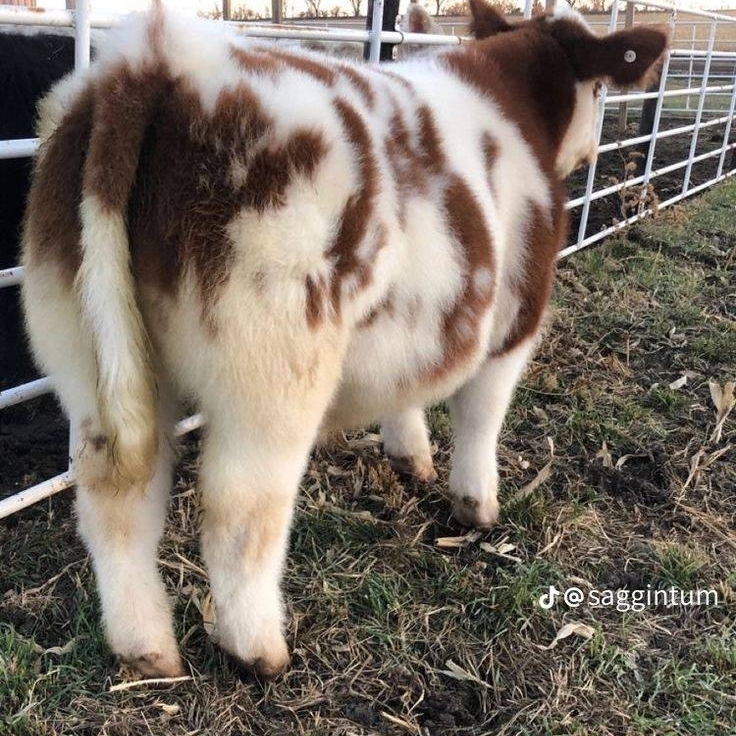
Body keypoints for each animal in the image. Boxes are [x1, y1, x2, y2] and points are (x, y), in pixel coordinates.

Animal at [20, 0, 668, 678]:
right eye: (601, 89)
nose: (593, 145)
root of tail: (157, 58)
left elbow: (410, 385)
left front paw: (410, 456)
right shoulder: (514, 319)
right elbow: (480, 415)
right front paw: (477, 505)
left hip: (84, 352)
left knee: (116, 497)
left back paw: (145, 649)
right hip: (273, 368)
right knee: (238, 508)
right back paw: (259, 649)